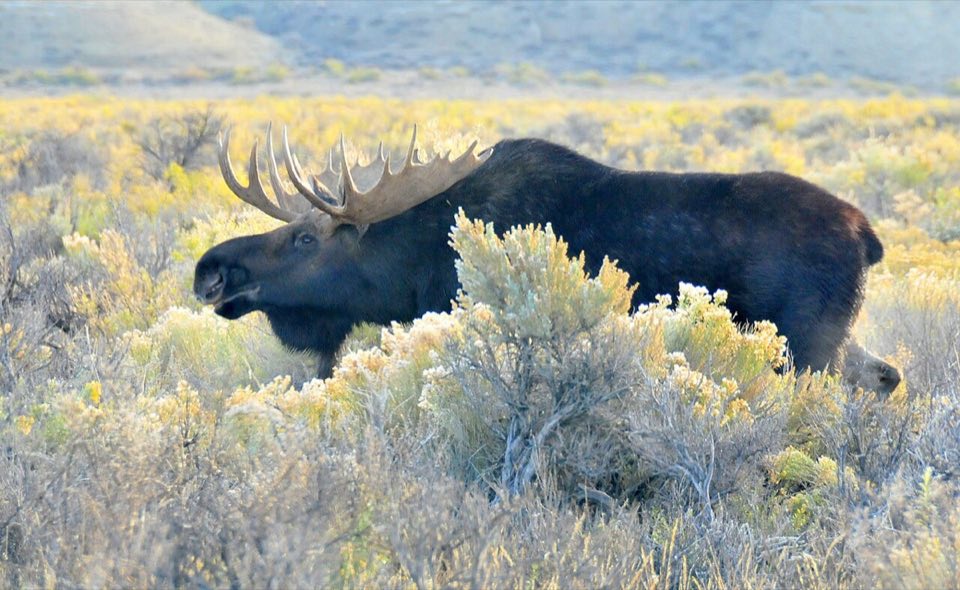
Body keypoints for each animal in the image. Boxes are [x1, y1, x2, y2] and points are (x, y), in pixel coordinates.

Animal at [194, 125, 885, 380]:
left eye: (306, 238)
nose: (210, 271)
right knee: (885, 377)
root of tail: (868, 237)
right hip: (837, 337)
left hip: (806, 344)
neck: (413, 264)